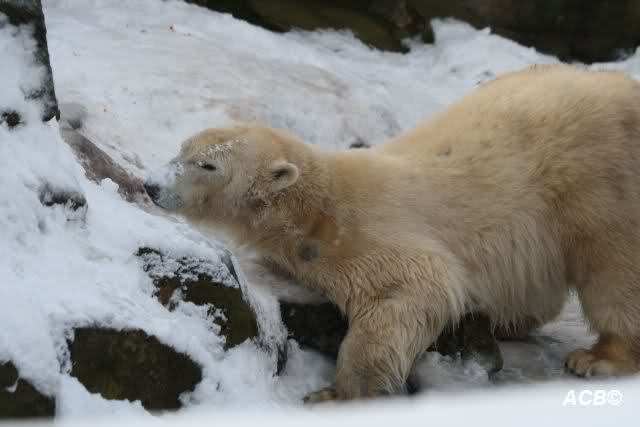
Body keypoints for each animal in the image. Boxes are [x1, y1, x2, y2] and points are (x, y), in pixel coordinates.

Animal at [144, 64, 640, 402]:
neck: (316, 207)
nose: (152, 185)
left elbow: (409, 292)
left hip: (599, 178)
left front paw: (335, 394)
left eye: (208, 165)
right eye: (182, 150)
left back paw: (599, 357)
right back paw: (510, 320)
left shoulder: (367, 233)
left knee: (614, 265)